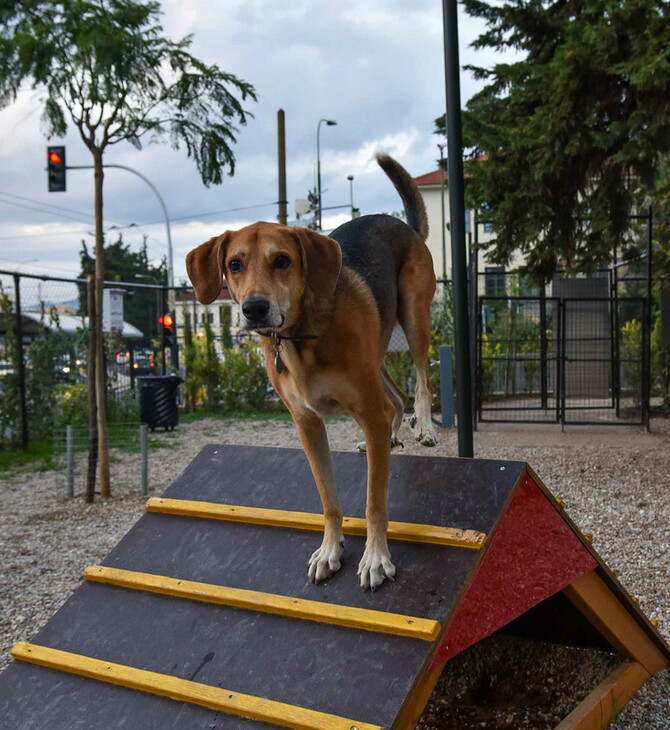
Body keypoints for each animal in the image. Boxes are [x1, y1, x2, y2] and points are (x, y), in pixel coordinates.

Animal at [188, 155, 440, 592]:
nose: (254, 308)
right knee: (395, 399)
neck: (301, 336)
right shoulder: (307, 423)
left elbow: (374, 502)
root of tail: (404, 226)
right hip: (376, 355)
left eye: (282, 260)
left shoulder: (366, 409)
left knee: (422, 382)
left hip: (414, 317)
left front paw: (375, 557)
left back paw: (423, 426)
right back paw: (392, 435)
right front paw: (330, 549)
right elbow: (328, 497)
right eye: (234, 265)